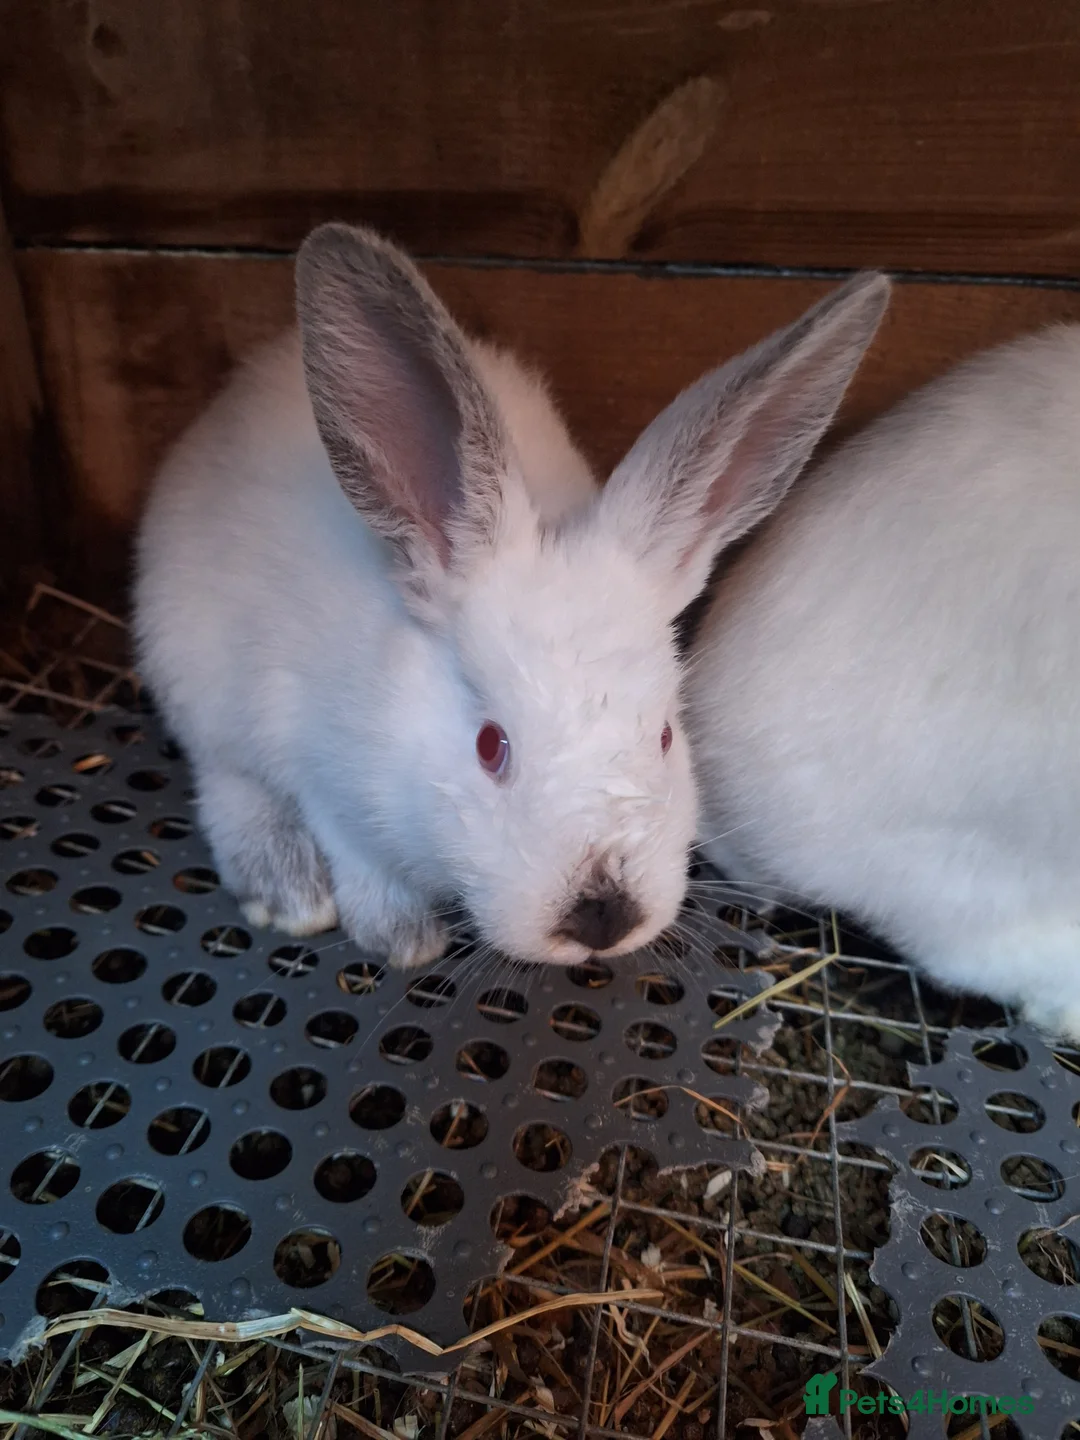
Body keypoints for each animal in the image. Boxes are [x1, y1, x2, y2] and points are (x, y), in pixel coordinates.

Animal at [134, 221, 888, 970]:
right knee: (224, 777)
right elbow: (357, 856)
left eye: (666, 736)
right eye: (490, 745)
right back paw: (285, 889)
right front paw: (402, 938)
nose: (603, 914)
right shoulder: (315, 763)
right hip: (191, 667)